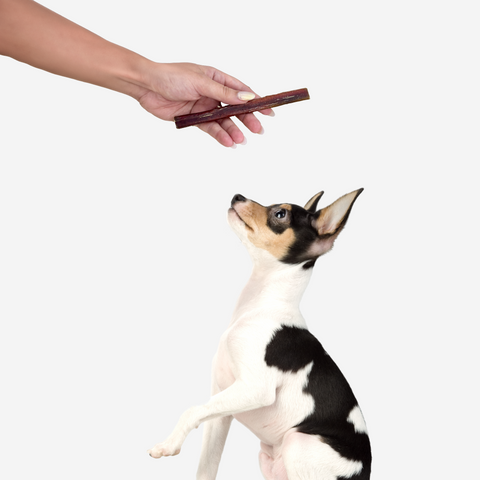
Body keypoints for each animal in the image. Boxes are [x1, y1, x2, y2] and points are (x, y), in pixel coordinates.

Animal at [149, 189, 372, 478]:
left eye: (280, 214)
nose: (237, 196)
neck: (259, 306)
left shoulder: (254, 389)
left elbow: (191, 410)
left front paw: (168, 444)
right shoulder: (220, 409)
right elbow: (206, 465)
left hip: (297, 442)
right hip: (268, 459)